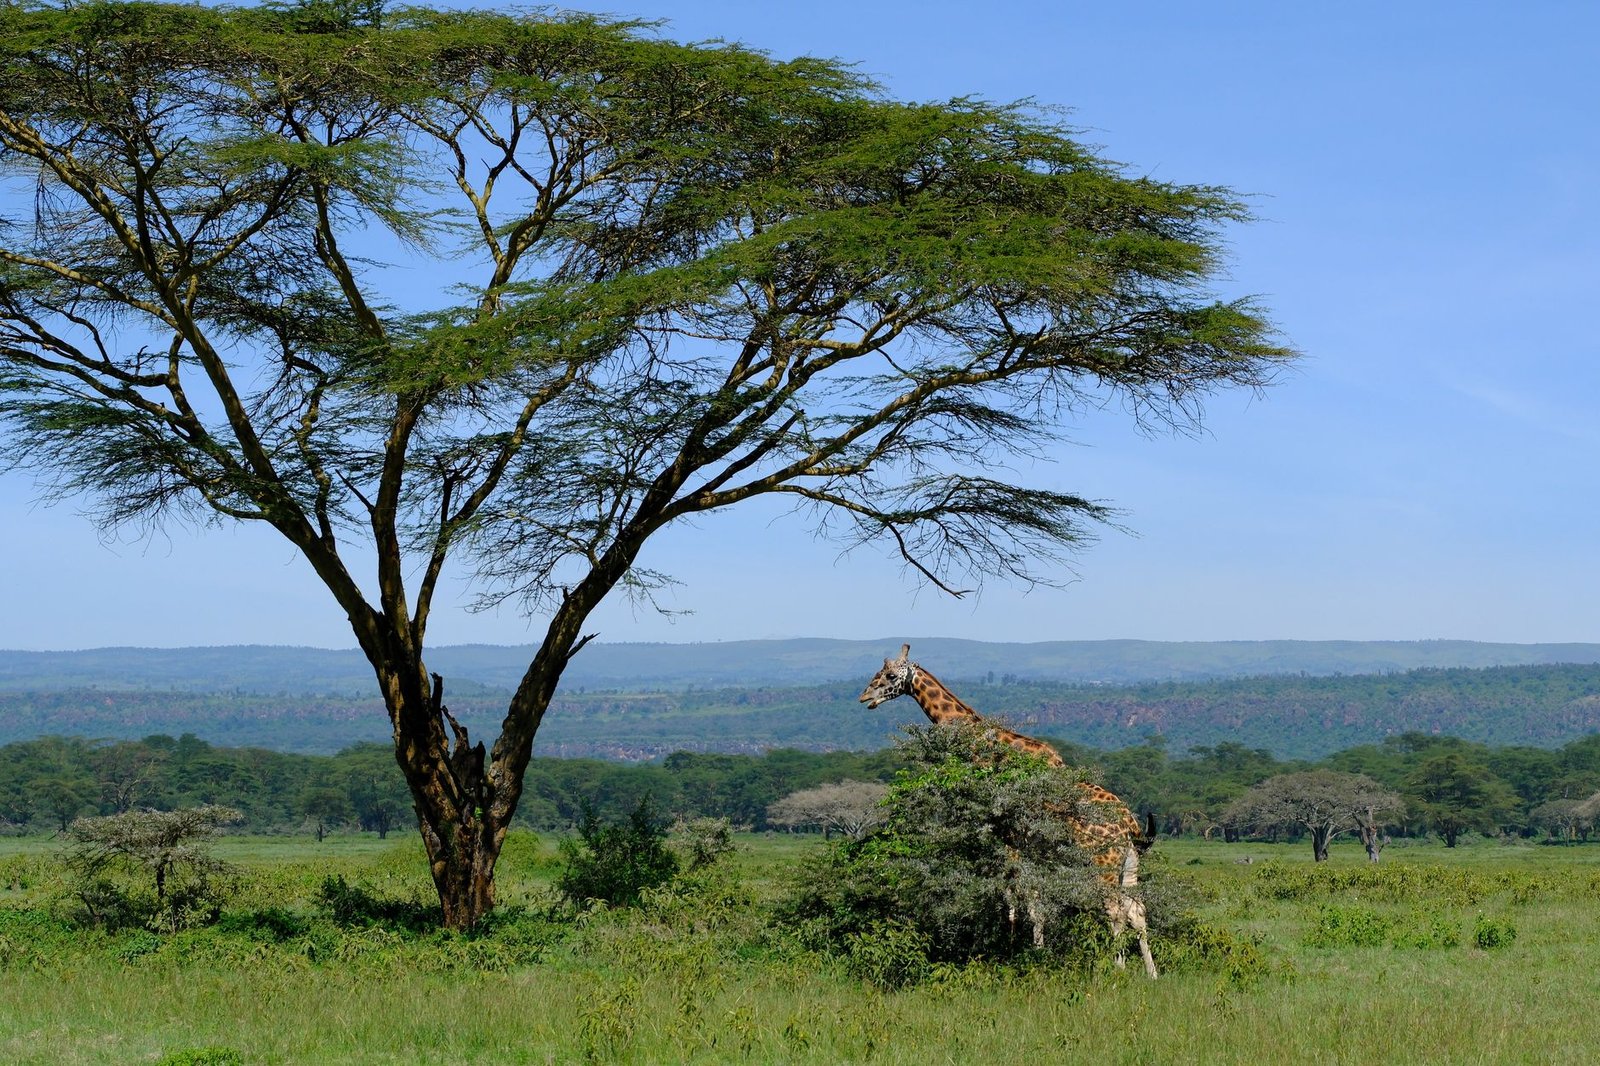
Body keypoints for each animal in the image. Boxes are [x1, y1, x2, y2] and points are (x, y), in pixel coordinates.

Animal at [858, 643, 1158, 977]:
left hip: (1101, 861)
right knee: (1136, 908)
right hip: (1128, 862)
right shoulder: (1026, 848)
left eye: (890, 675)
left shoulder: (1009, 841)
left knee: (1115, 909)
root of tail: (1129, 822)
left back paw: (1116, 969)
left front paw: (1013, 954)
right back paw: (1151, 974)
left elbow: (1013, 898)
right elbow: (1031, 901)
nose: (865, 697)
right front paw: (1031, 952)